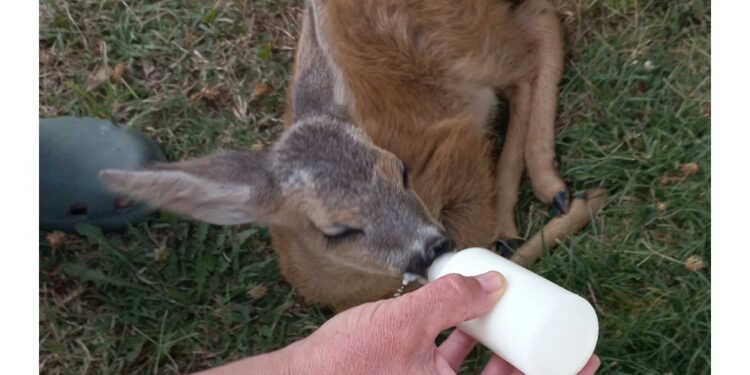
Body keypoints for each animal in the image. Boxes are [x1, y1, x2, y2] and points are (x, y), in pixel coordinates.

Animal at [101, 0, 604, 312]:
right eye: (336, 229)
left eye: (402, 171)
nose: (432, 246)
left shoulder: (454, 144)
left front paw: (573, 210)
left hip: (459, 43)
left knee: (537, 33)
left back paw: (548, 192)